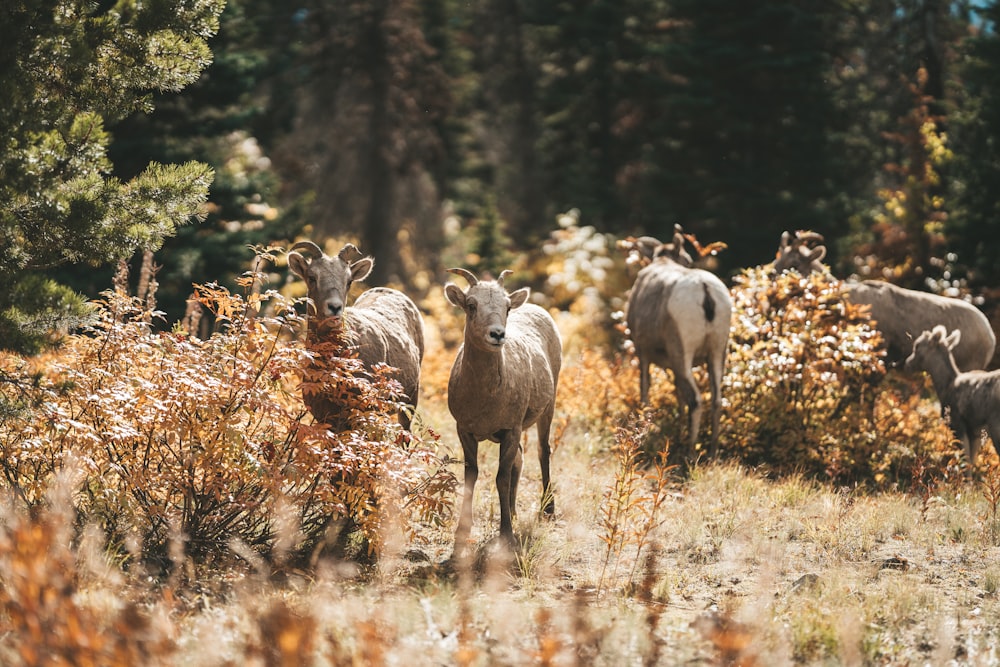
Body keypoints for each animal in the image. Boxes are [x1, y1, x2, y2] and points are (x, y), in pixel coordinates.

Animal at [446, 268, 564, 552]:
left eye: (507, 307)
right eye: (471, 305)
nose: (497, 334)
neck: (484, 399)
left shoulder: (511, 429)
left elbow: (501, 478)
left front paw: (507, 536)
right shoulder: (464, 430)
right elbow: (472, 475)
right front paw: (462, 533)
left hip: (548, 407)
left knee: (542, 451)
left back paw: (547, 511)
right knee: (519, 462)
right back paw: (513, 512)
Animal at [904, 326, 1000, 468]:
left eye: (917, 346)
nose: (908, 363)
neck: (945, 386)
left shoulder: (957, 423)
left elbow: (965, 462)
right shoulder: (974, 429)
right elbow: (971, 461)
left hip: (995, 424)